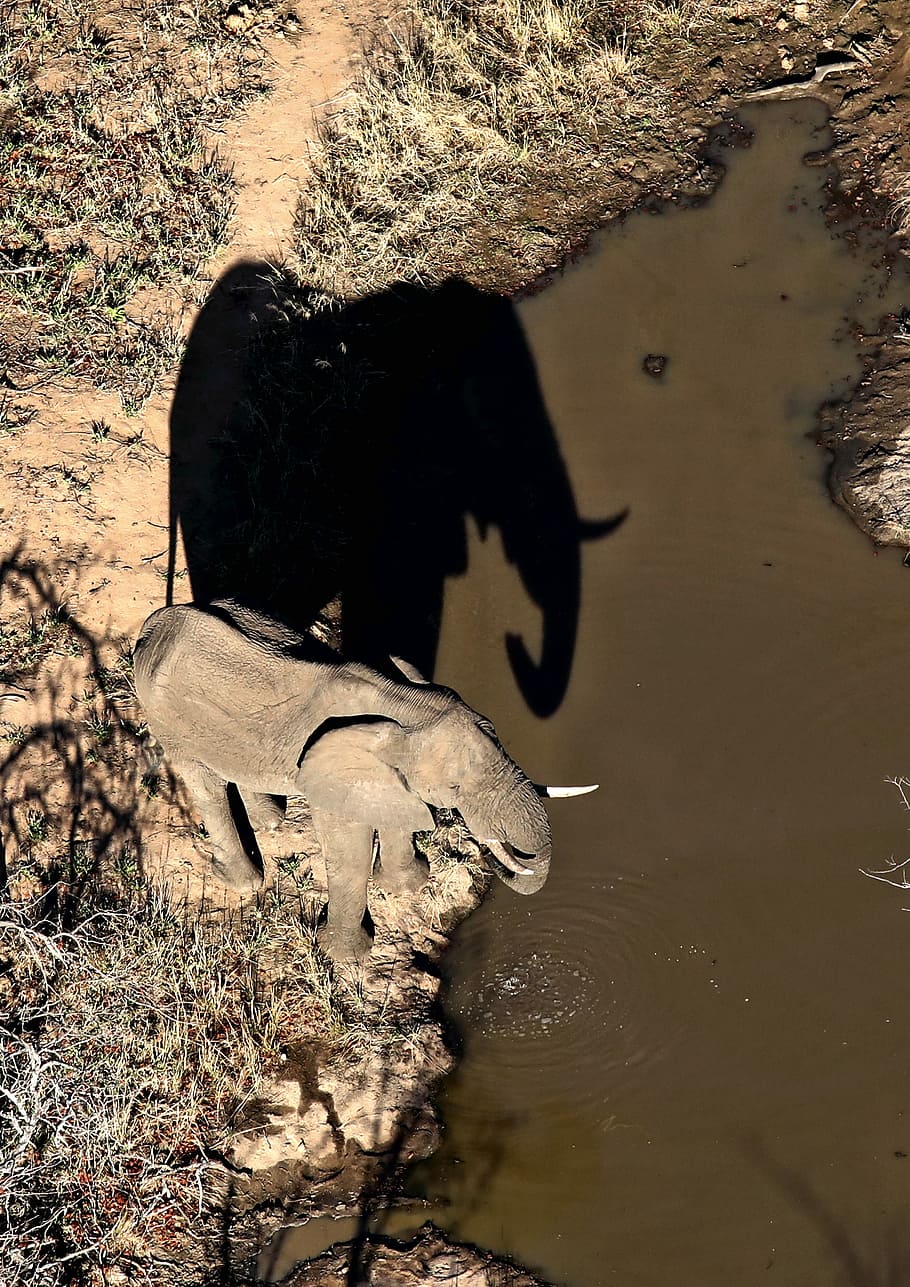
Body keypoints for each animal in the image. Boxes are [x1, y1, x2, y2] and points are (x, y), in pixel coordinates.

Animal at [133, 601, 589, 962]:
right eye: (454, 788)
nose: (505, 857)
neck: (405, 704)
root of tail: (155, 623)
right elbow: (349, 847)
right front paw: (347, 958)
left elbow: (397, 814)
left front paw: (411, 885)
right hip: (166, 716)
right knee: (206, 785)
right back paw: (245, 882)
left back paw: (271, 822)